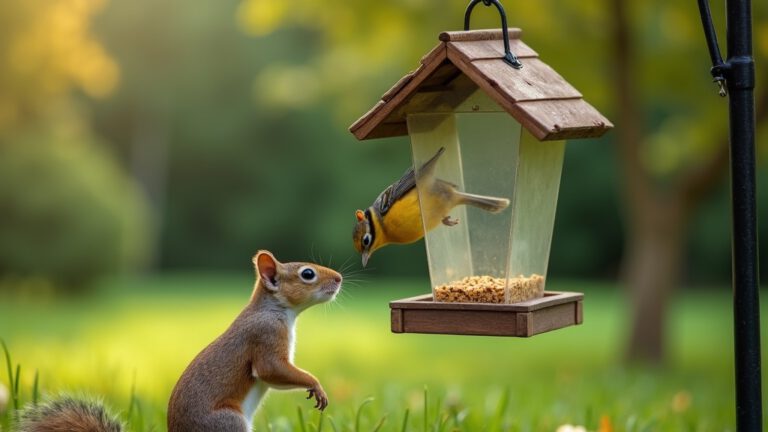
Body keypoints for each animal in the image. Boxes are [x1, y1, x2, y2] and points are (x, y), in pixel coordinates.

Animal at [15, 250, 342, 432]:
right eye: (307, 274)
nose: (339, 278)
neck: (275, 309)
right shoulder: (265, 337)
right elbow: (271, 369)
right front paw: (315, 384)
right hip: (228, 423)